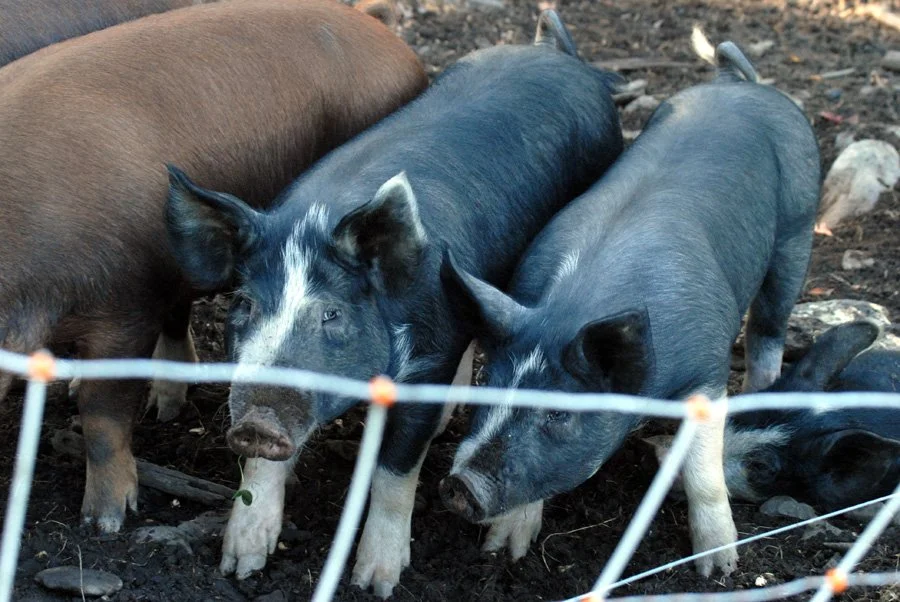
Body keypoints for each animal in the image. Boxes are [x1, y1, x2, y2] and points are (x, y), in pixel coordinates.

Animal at [165, 10, 623, 596]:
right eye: (243, 304)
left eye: (332, 313)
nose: (259, 422)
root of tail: (561, 54)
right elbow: (262, 470)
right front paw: (241, 564)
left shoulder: (427, 357)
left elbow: (394, 472)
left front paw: (376, 583)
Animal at [439, 31, 821, 578]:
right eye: (487, 387)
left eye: (559, 416)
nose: (457, 485)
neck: (574, 307)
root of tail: (739, 82)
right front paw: (504, 549)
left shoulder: (707, 369)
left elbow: (703, 470)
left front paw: (718, 567)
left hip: (798, 226)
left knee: (770, 328)